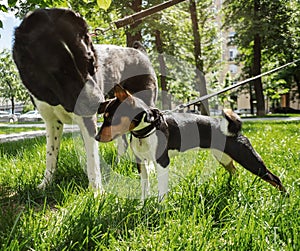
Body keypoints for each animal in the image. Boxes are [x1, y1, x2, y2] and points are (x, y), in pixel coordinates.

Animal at [12, 7, 157, 192]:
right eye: (59, 71)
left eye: (88, 61)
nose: (99, 103)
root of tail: (140, 51)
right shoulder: (51, 121)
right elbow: (50, 154)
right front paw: (46, 183)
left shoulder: (88, 119)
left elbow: (92, 159)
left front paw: (96, 192)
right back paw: (118, 164)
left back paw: (149, 167)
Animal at [95, 86, 286, 202]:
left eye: (111, 118)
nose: (96, 137)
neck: (146, 130)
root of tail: (234, 130)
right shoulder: (141, 163)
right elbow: (144, 187)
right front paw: (143, 204)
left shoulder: (162, 162)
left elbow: (162, 189)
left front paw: (159, 207)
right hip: (223, 157)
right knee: (235, 171)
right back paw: (232, 188)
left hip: (249, 159)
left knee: (274, 178)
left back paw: (285, 199)